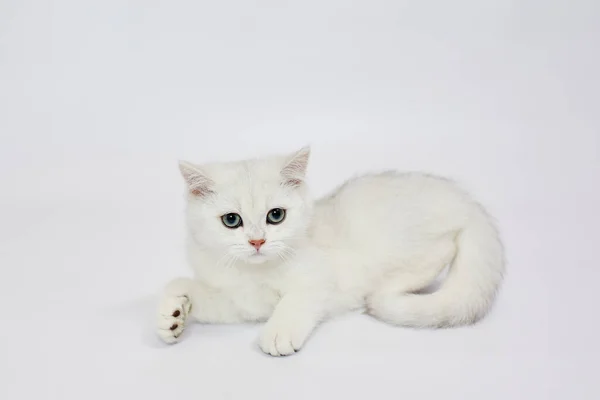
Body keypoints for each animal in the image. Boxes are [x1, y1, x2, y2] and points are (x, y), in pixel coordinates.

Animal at [157, 147, 504, 356]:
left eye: (276, 215)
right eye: (231, 220)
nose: (257, 242)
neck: (252, 272)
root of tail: (466, 201)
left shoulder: (318, 274)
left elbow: (296, 300)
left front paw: (279, 333)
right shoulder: (239, 302)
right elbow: (186, 288)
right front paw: (173, 314)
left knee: (441, 250)